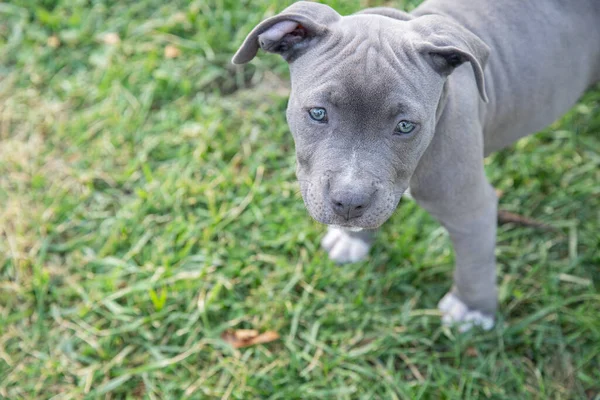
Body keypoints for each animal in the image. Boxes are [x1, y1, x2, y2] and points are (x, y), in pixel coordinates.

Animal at [233, 0, 600, 332]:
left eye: (406, 126)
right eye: (318, 113)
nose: (349, 203)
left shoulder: (471, 209)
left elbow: (476, 261)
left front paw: (472, 309)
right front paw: (352, 240)